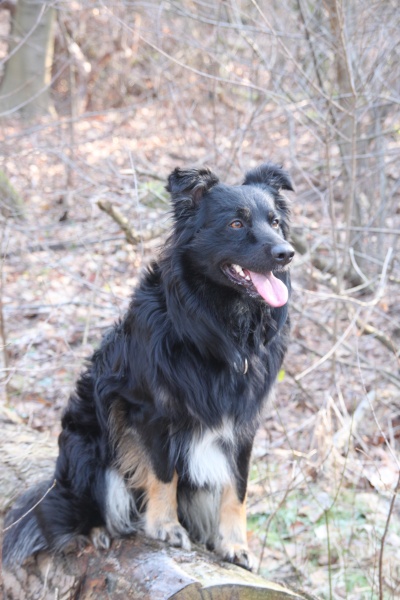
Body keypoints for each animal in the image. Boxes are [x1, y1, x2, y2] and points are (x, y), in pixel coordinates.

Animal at [3, 162, 294, 571]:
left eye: (275, 221)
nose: (287, 253)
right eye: (236, 223)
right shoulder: (148, 411)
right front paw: (165, 527)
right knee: (66, 512)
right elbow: (162, 471)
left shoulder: (243, 422)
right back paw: (95, 531)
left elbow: (237, 487)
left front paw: (235, 545)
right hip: (84, 446)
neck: (219, 325)